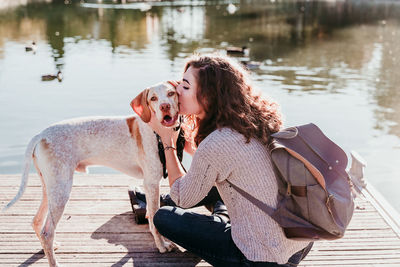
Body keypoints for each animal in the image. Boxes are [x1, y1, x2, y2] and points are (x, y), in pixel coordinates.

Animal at [1, 81, 180, 267]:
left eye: (171, 93)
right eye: (153, 98)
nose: (165, 106)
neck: (154, 130)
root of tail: (40, 135)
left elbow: (151, 217)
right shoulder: (151, 183)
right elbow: (154, 218)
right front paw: (162, 246)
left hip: (50, 188)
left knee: (37, 221)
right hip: (61, 191)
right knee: (47, 231)